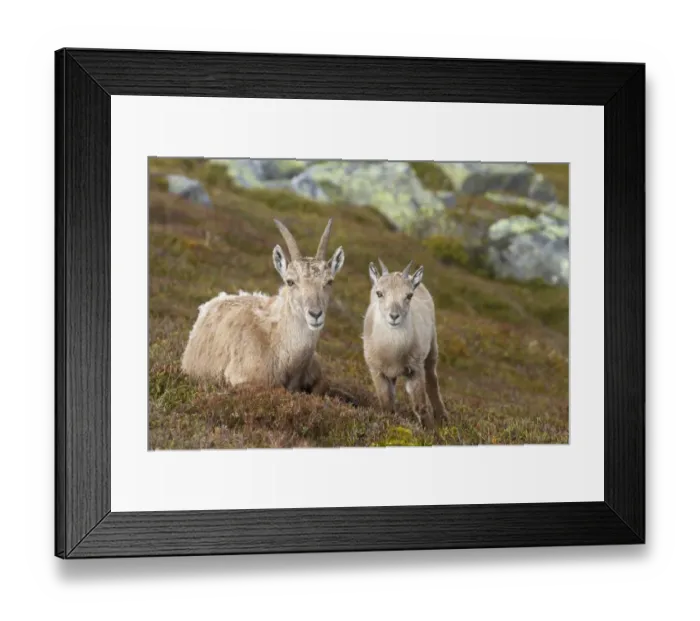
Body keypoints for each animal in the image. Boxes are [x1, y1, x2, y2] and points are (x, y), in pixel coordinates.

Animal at [362, 258, 447, 430]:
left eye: (409, 295)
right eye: (379, 293)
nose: (394, 316)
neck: (392, 350)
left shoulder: (415, 369)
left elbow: (420, 406)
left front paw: (430, 431)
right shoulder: (377, 371)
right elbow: (387, 403)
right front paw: (390, 422)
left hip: (432, 349)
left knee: (432, 380)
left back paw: (442, 417)